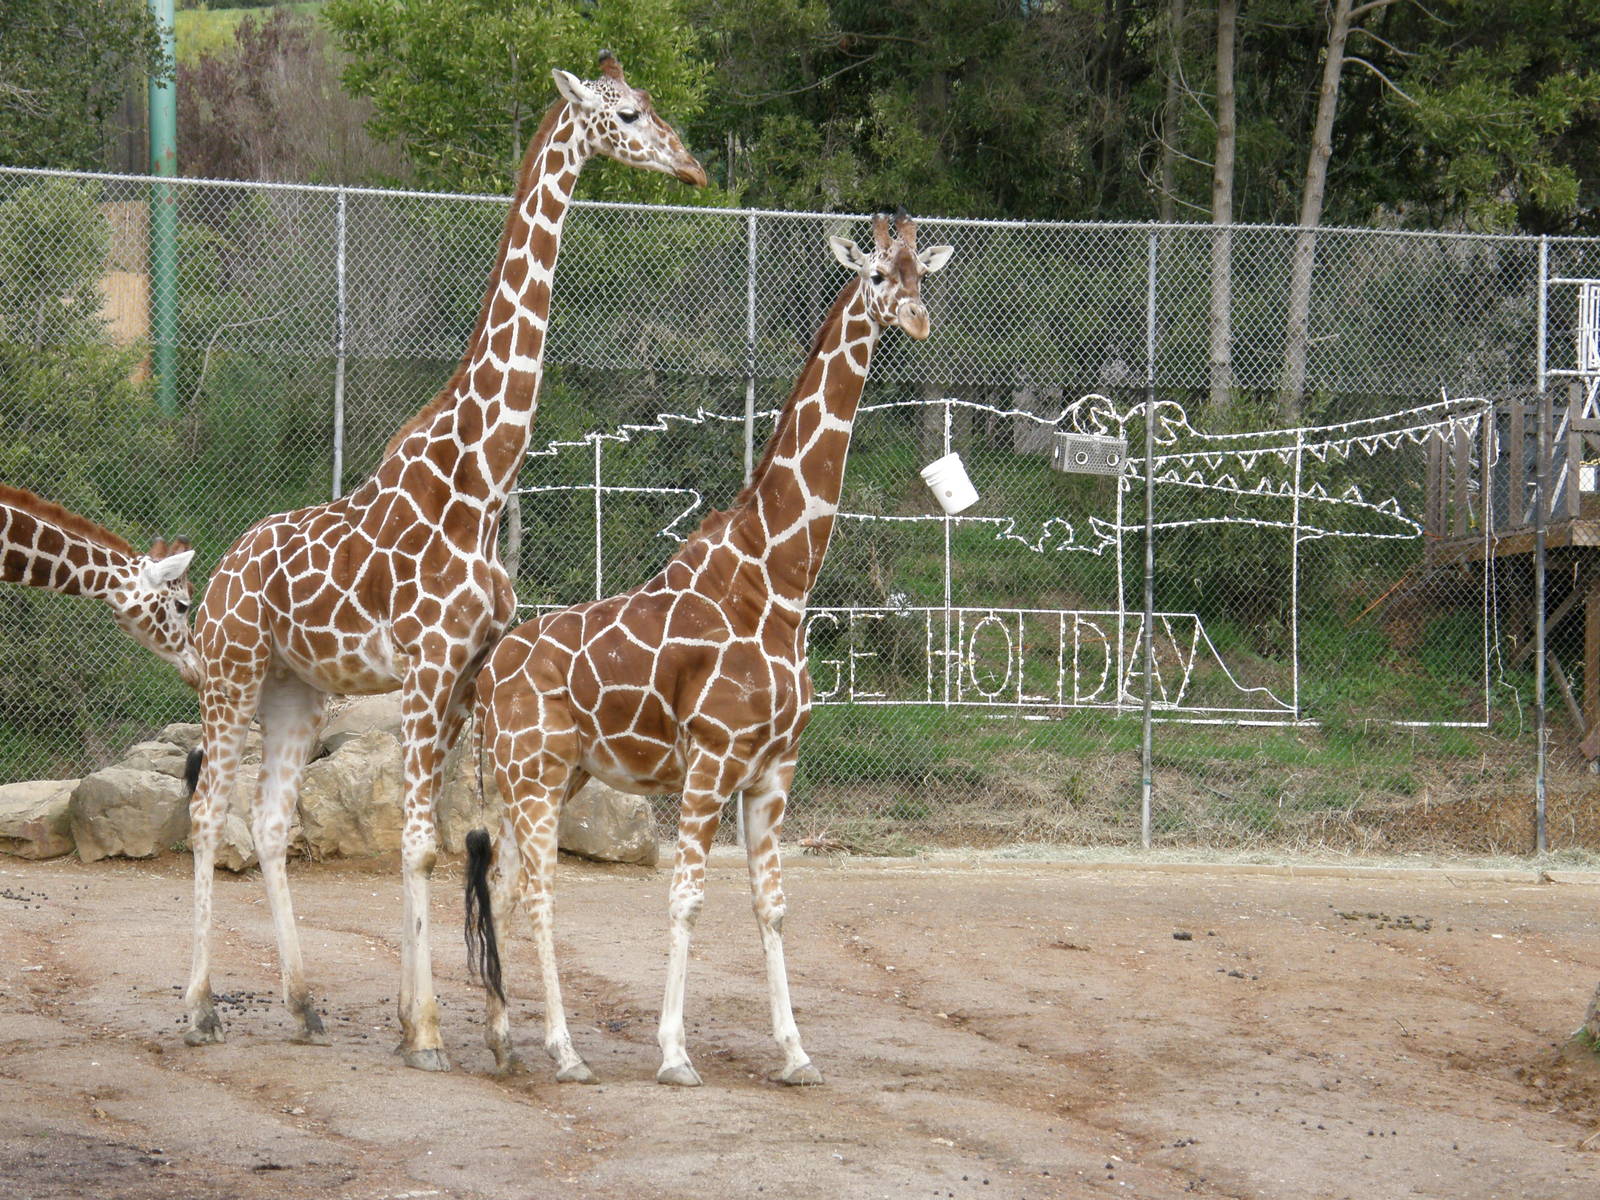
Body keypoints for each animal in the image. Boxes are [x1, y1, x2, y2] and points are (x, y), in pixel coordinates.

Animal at [181, 53, 705, 1070]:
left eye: (655, 107)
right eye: (627, 114)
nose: (693, 165)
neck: (480, 482)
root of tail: (220, 571)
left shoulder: (465, 675)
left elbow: (451, 838)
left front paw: (418, 1019)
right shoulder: (427, 669)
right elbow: (418, 841)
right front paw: (425, 1031)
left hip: (298, 688)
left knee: (269, 821)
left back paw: (303, 1007)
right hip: (231, 672)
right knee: (204, 811)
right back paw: (196, 1007)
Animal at [465, 211, 953, 1086]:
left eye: (921, 274)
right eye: (875, 275)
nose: (917, 319)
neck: (778, 584)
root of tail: (488, 675)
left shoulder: (773, 769)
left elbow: (773, 905)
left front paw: (796, 1053)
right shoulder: (711, 761)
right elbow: (687, 898)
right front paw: (674, 1053)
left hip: (551, 777)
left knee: (510, 886)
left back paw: (505, 1041)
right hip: (535, 773)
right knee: (541, 892)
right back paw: (566, 1053)